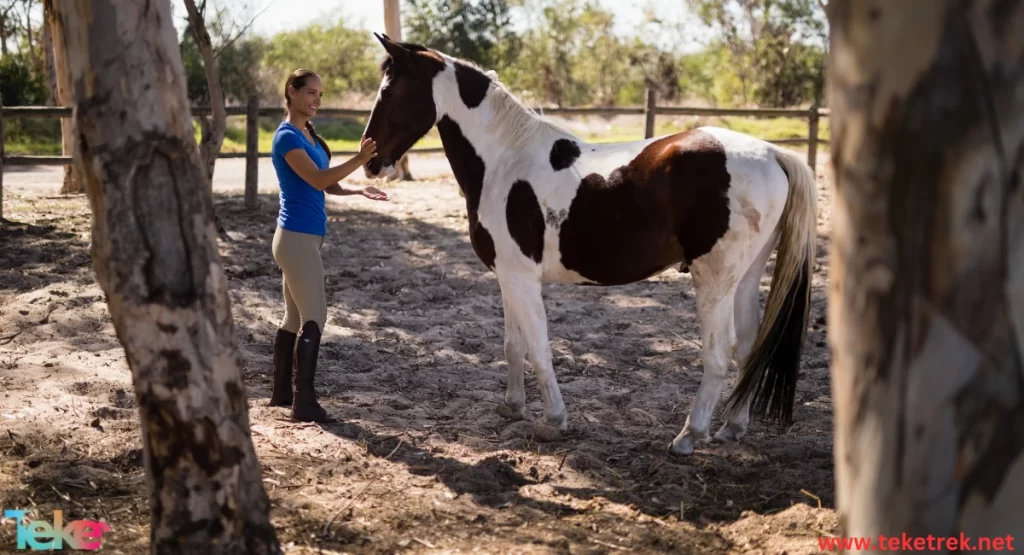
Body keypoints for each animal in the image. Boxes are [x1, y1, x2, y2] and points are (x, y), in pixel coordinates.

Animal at [360, 32, 815, 456]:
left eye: (389, 91)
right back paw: (732, 428)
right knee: (750, 347)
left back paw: (688, 437)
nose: (370, 162)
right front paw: (512, 407)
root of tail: (772, 153)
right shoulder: (508, 276)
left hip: (714, 280)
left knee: (720, 353)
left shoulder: (521, 277)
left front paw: (553, 421)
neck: (504, 158)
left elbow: (539, 347)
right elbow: (513, 343)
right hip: (745, 278)